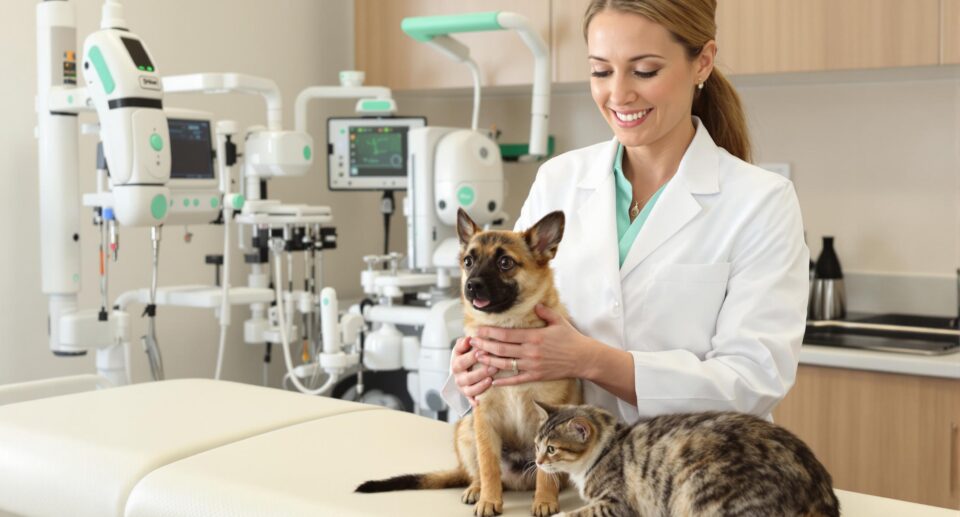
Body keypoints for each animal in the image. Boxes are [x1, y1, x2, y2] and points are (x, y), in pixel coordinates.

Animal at [356, 208, 580, 512]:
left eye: (505, 262)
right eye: (468, 261)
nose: (471, 286)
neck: (508, 327)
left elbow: (546, 474)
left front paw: (544, 500)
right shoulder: (483, 418)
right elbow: (488, 467)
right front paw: (489, 500)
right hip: (466, 429)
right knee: (477, 473)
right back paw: (476, 489)